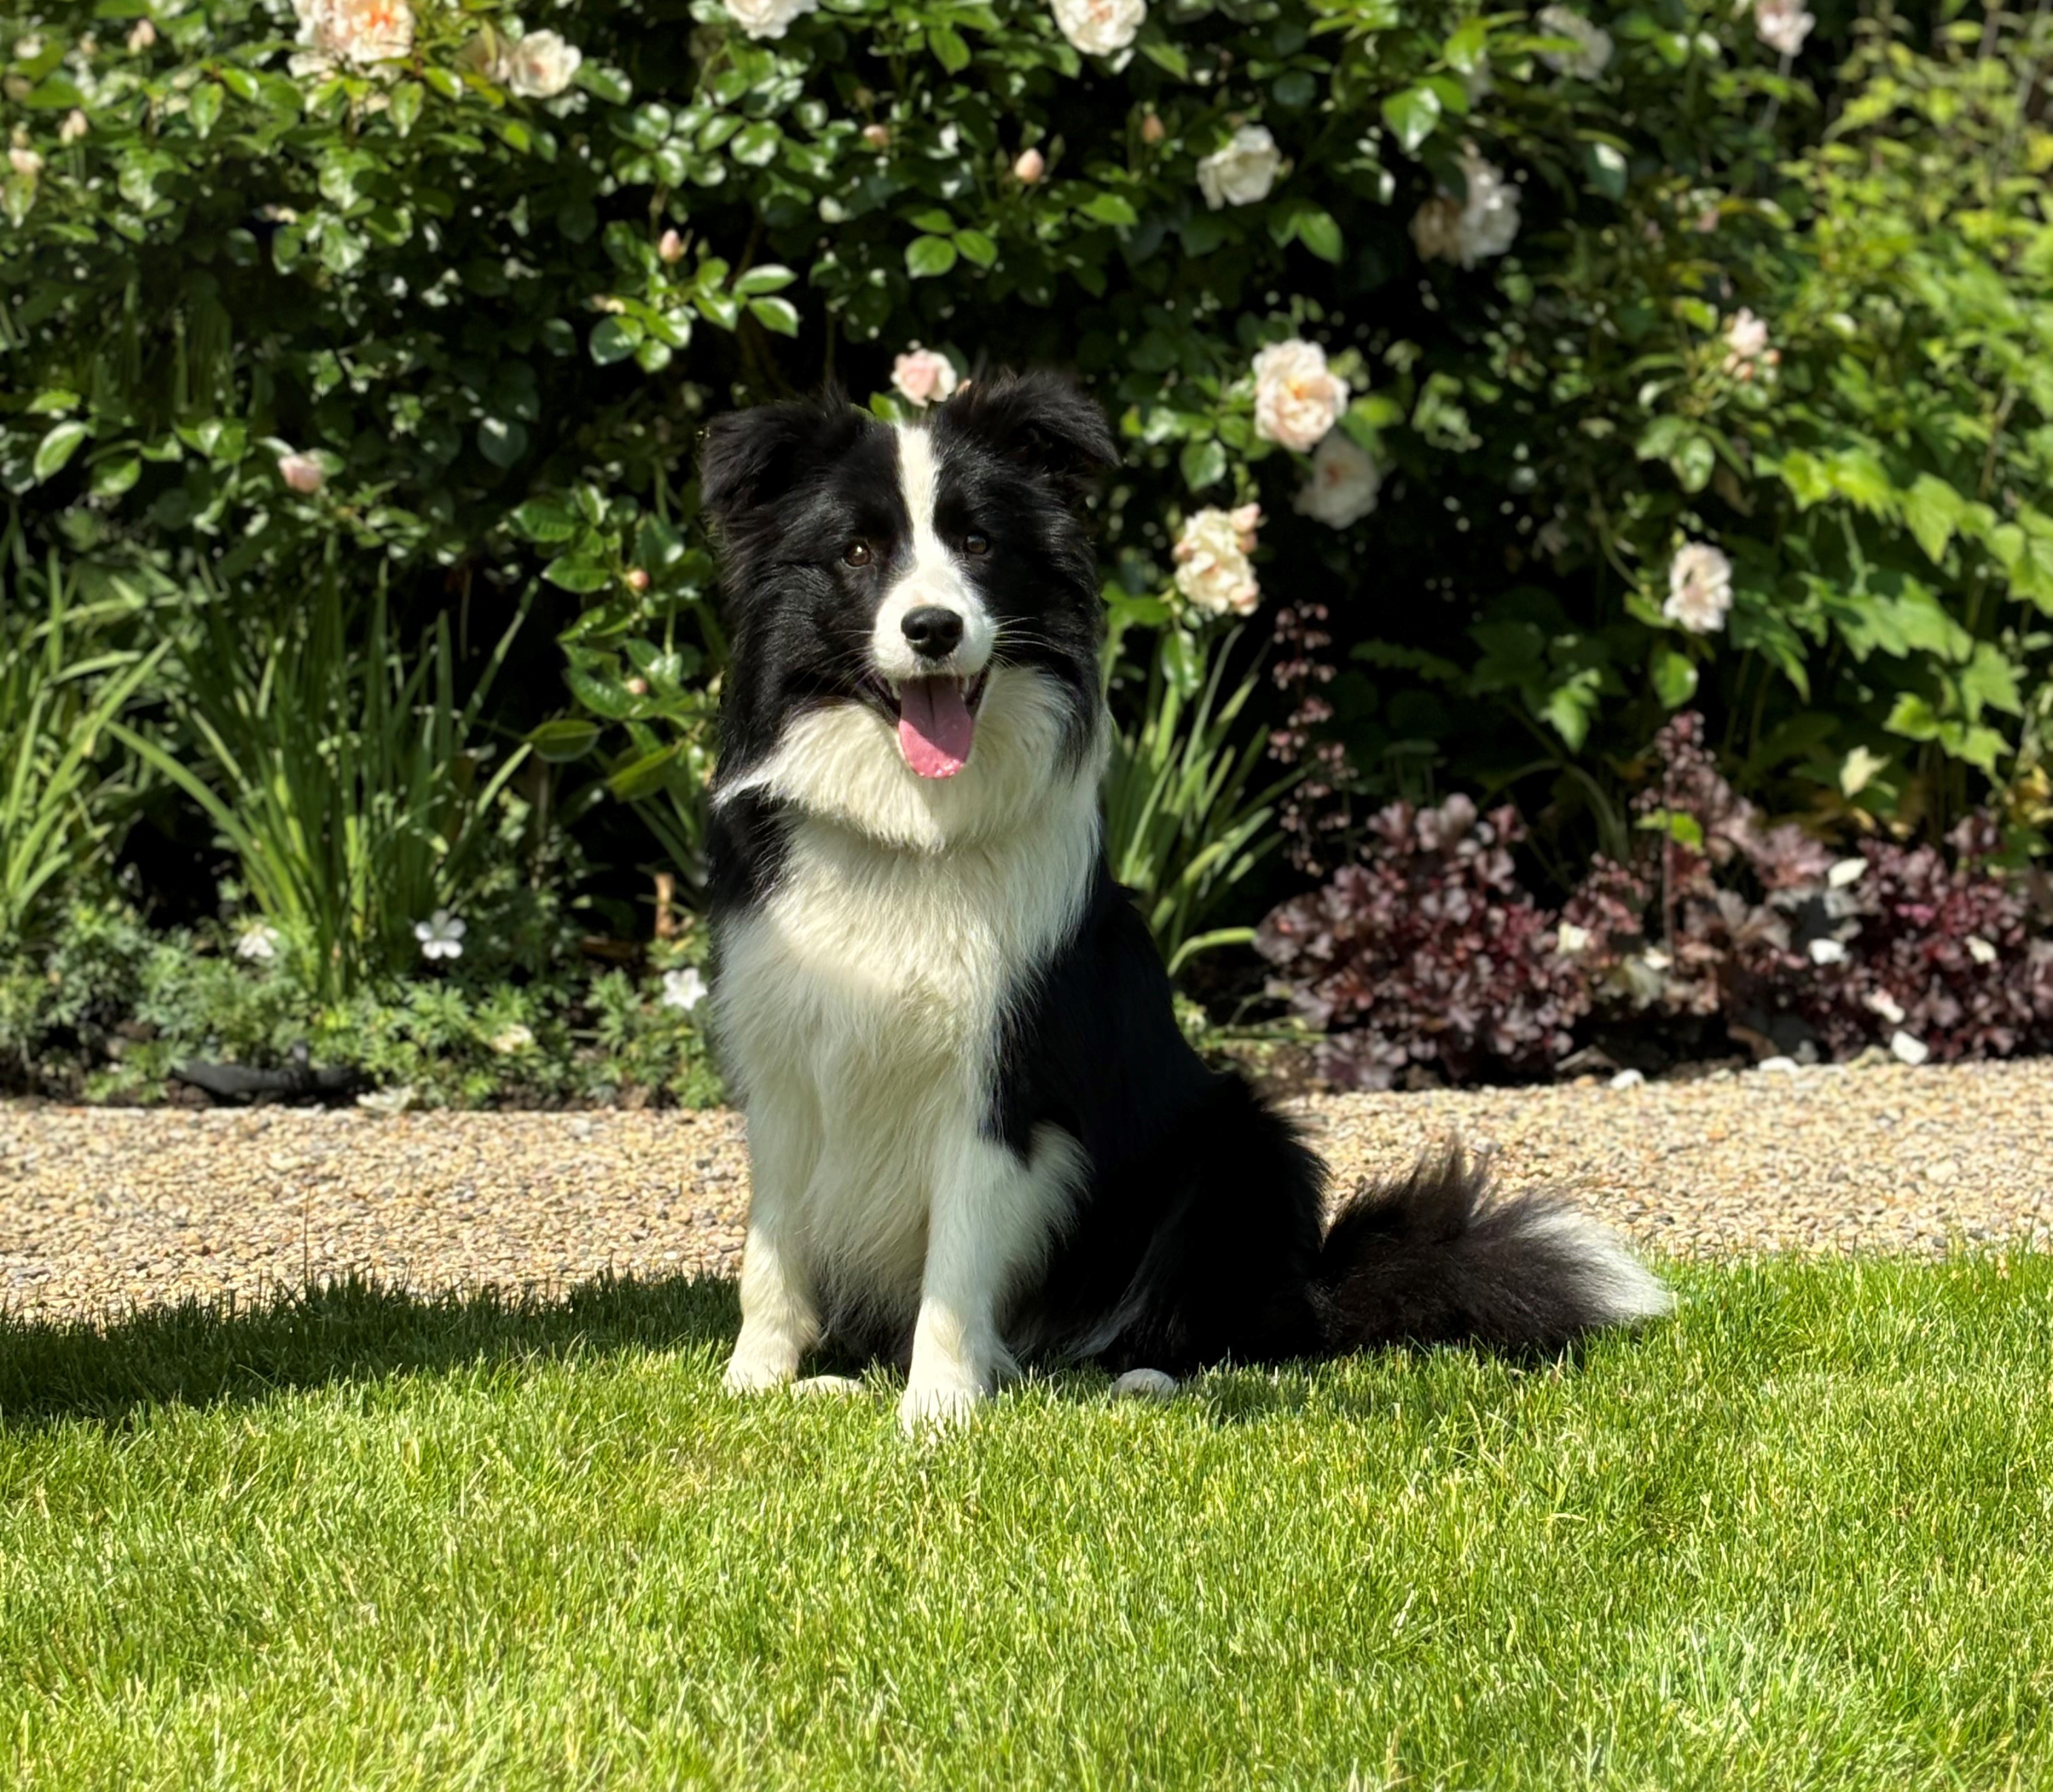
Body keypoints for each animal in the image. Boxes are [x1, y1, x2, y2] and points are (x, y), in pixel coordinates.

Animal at [702, 371, 1667, 1436]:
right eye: (858, 552)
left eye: (980, 544)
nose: (933, 630)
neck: (912, 835)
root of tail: (1318, 1285)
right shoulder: (785, 1066)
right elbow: (771, 1255)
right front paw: (754, 1384)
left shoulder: (1004, 1081)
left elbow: (954, 1268)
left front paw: (938, 1413)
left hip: (1240, 1143)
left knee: (1240, 1330)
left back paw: (1143, 1376)